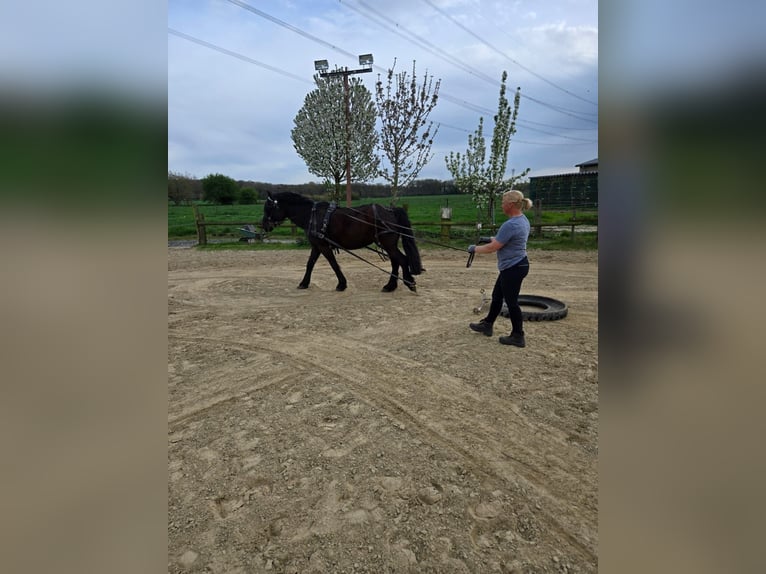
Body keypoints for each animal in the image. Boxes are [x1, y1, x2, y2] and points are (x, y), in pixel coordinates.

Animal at [261, 191, 423, 292]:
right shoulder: (317, 246)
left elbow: (333, 264)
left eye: (268, 208)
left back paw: (409, 282)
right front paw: (304, 283)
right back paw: (390, 286)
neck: (312, 215)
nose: (264, 225)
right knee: (396, 262)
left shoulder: (323, 246)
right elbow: (310, 264)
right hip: (387, 244)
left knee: (402, 260)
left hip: (388, 243)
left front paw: (341, 284)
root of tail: (390, 210)